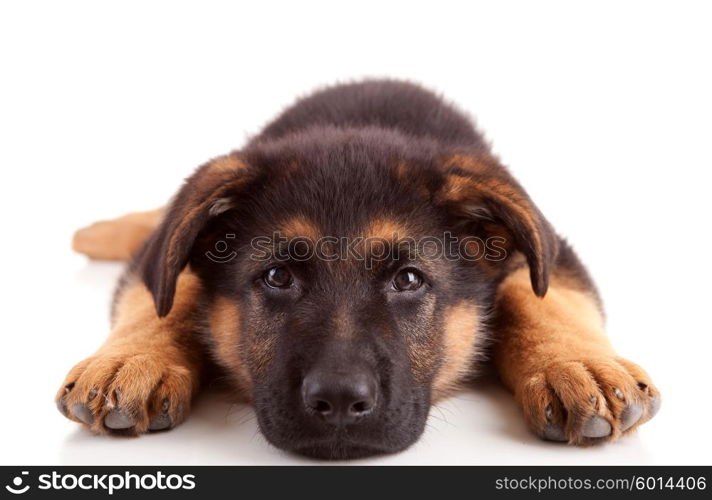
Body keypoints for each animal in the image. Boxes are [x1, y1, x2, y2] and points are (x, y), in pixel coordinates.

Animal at [58, 80, 660, 458]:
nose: (342, 403)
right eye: (277, 277)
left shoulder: (552, 251)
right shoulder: (159, 261)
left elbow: (538, 295)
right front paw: (133, 359)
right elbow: (168, 293)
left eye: (409, 279)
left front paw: (574, 364)